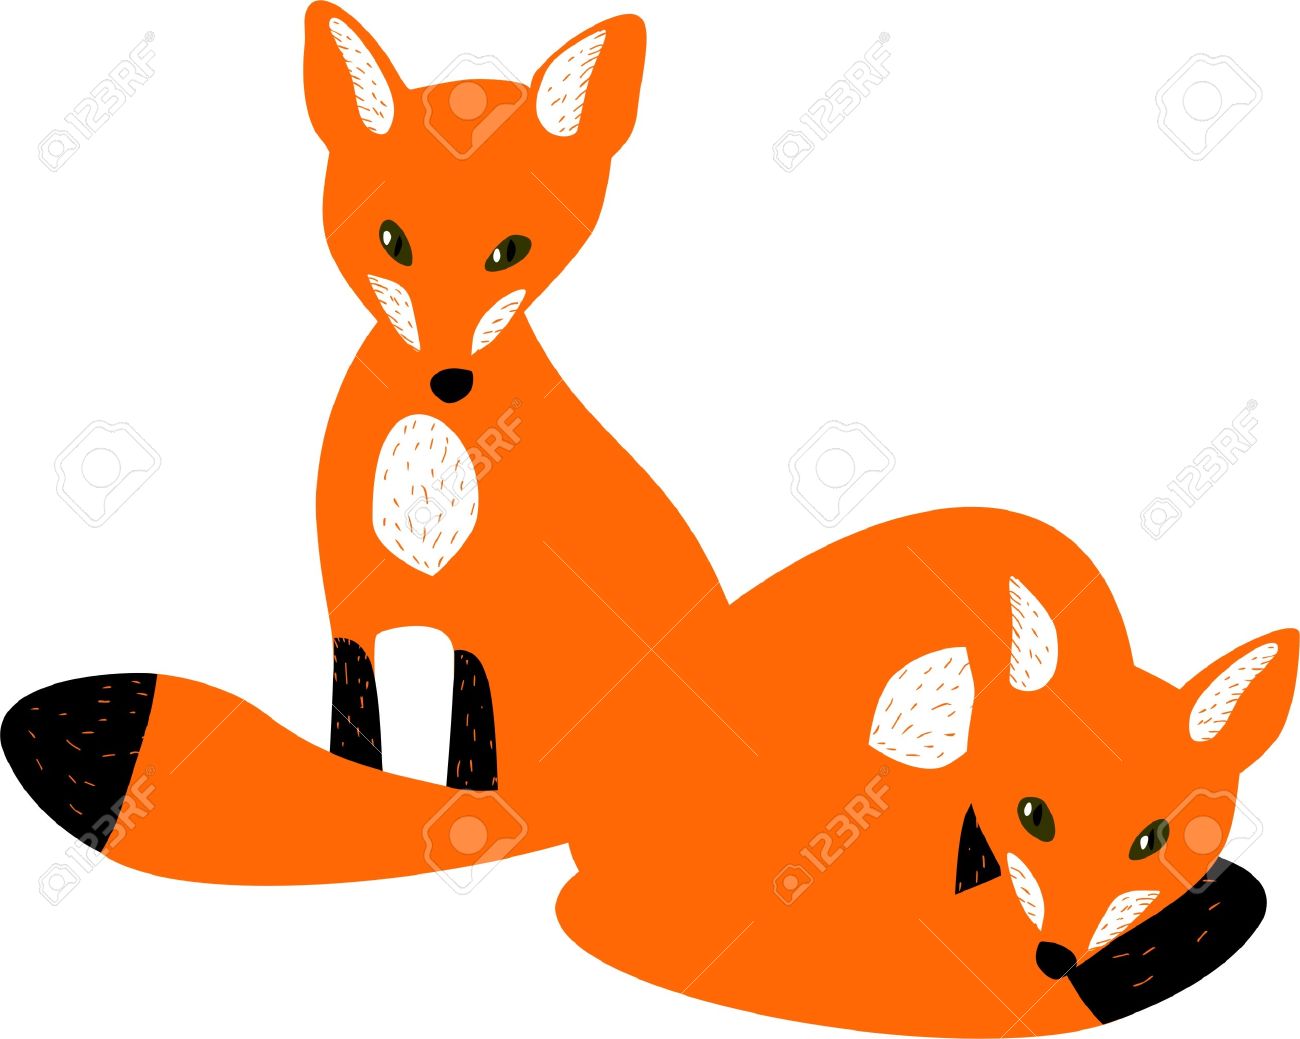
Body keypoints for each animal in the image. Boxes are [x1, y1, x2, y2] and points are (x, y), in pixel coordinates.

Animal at [3, 5, 1294, 1037]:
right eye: (391, 241)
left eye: (511, 248)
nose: (449, 380)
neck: (430, 488)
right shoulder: (358, 622)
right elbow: (363, 759)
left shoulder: (491, 638)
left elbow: (456, 774)